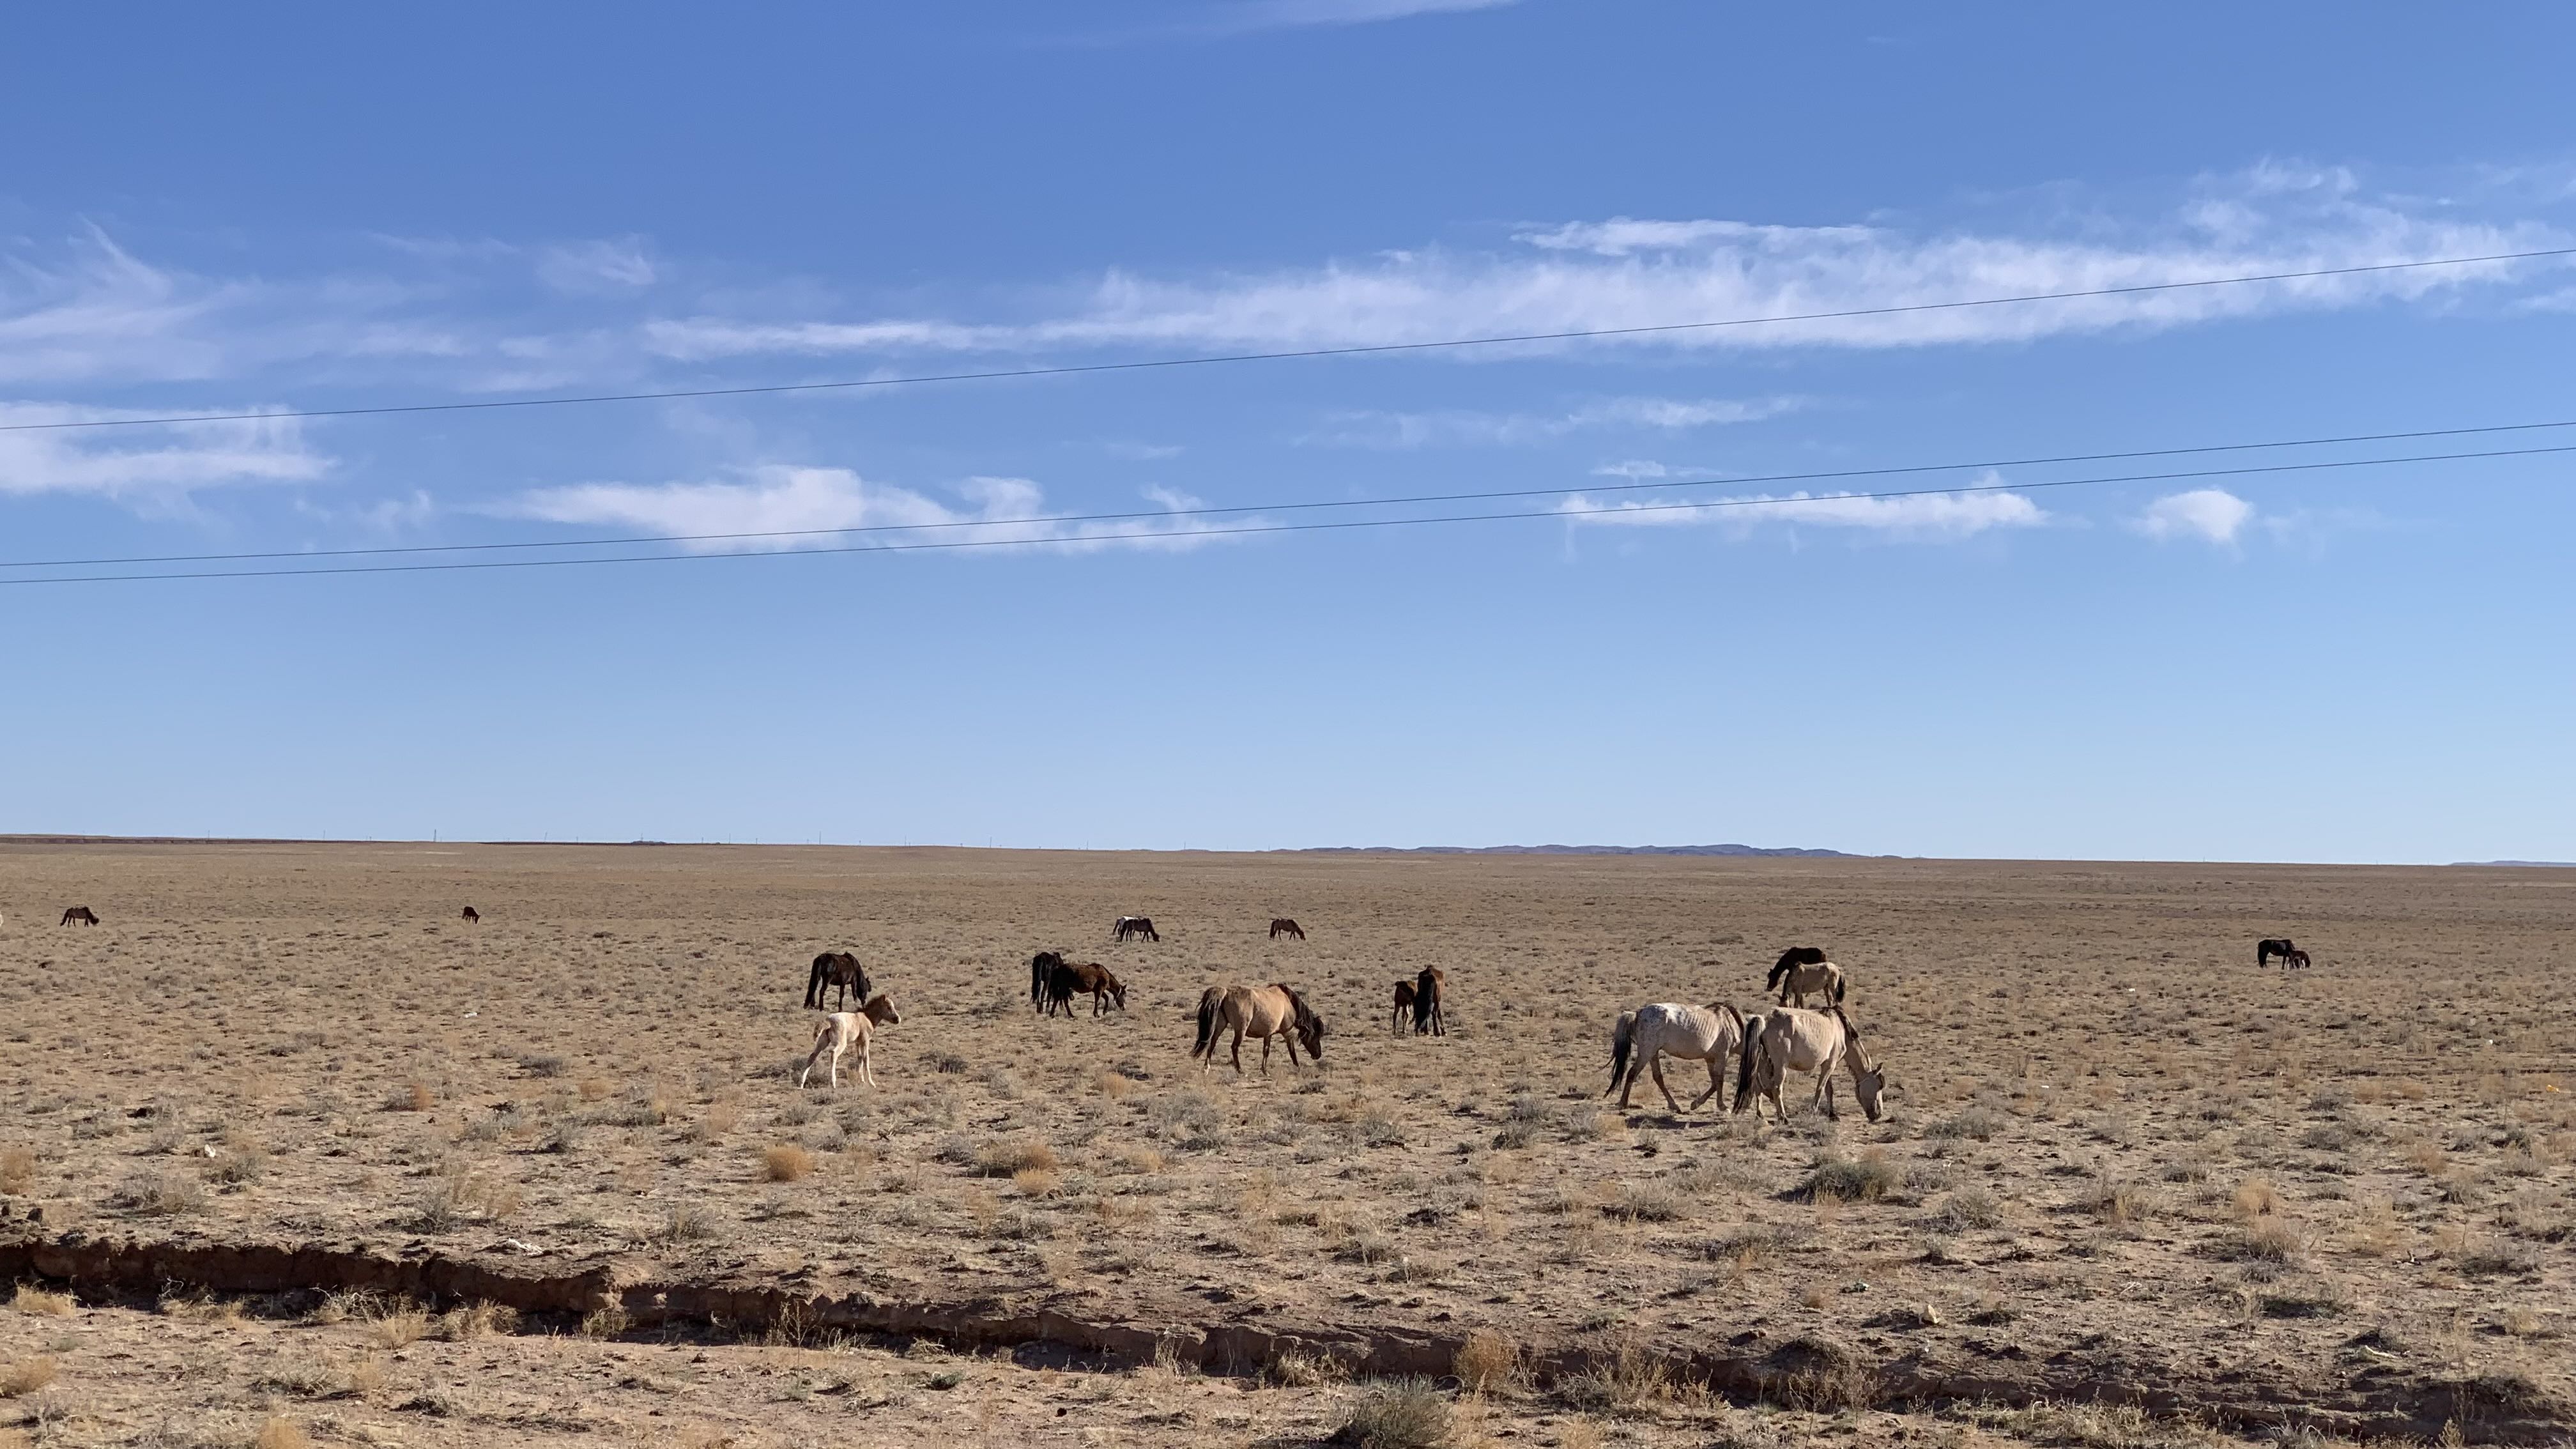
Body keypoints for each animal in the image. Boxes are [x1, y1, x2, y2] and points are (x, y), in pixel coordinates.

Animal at [796, 994, 901, 1089]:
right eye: (889, 1007)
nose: (898, 1019)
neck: (867, 1017)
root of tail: (828, 1021)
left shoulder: (858, 1043)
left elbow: (860, 1058)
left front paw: (862, 1080)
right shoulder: (865, 1041)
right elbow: (866, 1059)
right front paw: (871, 1083)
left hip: (823, 1042)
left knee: (812, 1056)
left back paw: (802, 1083)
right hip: (842, 1043)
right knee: (833, 1054)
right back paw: (833, 1083)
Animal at [1044, 960, 1127, 1017]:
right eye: (1124, 995)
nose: (1123, 1008)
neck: (1107, 976)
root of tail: (1058, 969)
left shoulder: (1098, 990)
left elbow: (1106, 998)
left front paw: (1104, 1012)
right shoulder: (1099, 990)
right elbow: (1097, 1001)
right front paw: (1096, 1014)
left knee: (1059, 999)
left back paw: (1056, 1014)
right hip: (1063, 987)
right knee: (1060, 999)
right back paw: (1067, 1015)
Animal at [1190, 983, 1325, 1074]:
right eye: (1315, 1036)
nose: (1318, 1055)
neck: (1288, 1002)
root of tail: (1226, 992)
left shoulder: (1268, 1034)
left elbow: (1266, 1051)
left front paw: (1265, 1070)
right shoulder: (1288, 1033)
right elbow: (1292, 1052)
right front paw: (1298, 1068)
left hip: (1220, 1026)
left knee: (1212, 1043)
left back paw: (1207, 1068)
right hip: (1241, 1030)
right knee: (1234, 1047)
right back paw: (1240, 1070)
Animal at [1606, 1002, 1753, 1112]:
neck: (1732, 1023)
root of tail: (1639, 1013)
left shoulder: (1710, 1059)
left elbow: (1714, 1082)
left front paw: (1696, 1104)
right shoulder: (1722, 1056)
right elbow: (1720, 1081)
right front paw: (1722, 1106)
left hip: (1653, 1053)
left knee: (1658, 1077)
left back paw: (1674, 1105)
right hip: (1647, 1052)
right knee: (1632, 1073)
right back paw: (1623, 1103)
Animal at [1735, 1005, 1889, 1124]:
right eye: (1879, 1086)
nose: (1878, 1114)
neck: (1841, 1028)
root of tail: (1764, 1020)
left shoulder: (1827, 1064)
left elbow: (1829, 1090)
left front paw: (1832, 1115)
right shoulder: (1830, 1064)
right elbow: (1820, 1088)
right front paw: (1813, 1112)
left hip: (1761, 1062)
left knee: (1757, 1086)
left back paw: (1760, 1115)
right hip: (1780, 1066)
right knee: (1777, 1088)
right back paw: (1783, 1118)